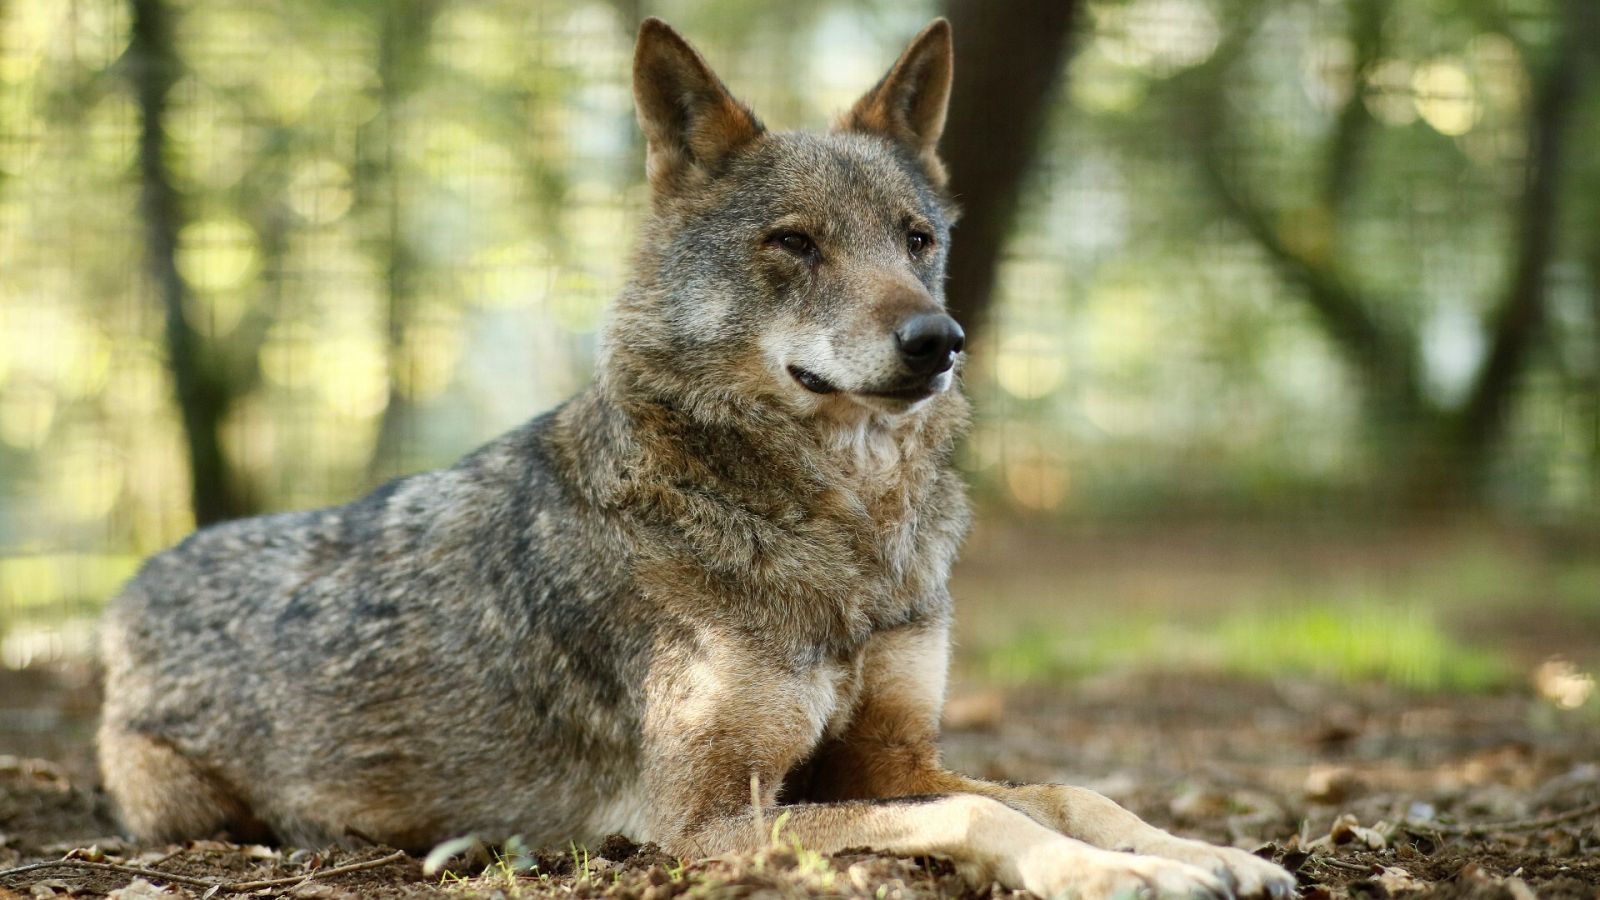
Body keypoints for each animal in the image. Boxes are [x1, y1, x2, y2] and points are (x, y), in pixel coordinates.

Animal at [96, 15, 1299, 896]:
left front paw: (1209, 854)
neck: (842, 529)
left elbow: (1068, 793)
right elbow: (975, 811)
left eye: (916, 239)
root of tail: (130, 590)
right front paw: (1113, 876)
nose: (939, 341)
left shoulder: (891, 755)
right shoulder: (704, 814)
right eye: (795, 243)